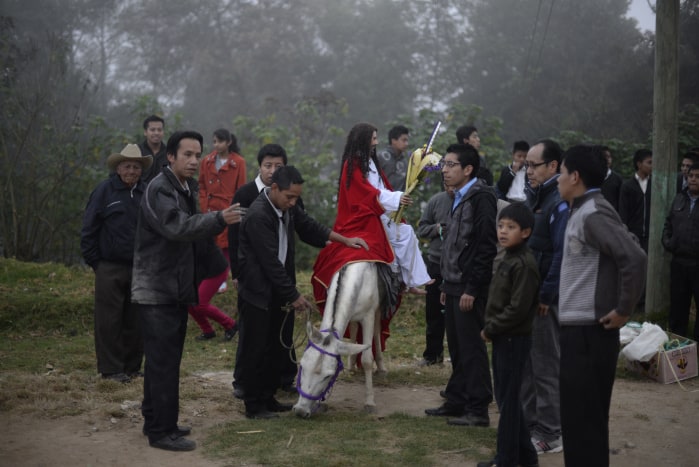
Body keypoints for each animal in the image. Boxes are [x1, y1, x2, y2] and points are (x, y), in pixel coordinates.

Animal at [290, 262, 388, 418]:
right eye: (302, 366)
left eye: (328, 376)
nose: (301, 411)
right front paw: (323, 403)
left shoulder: (368, 316)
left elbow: (367, 359)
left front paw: (369, 403)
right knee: (353, 327)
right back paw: (351, 366)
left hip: (378, 307)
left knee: (377, 329)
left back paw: (381, 369)